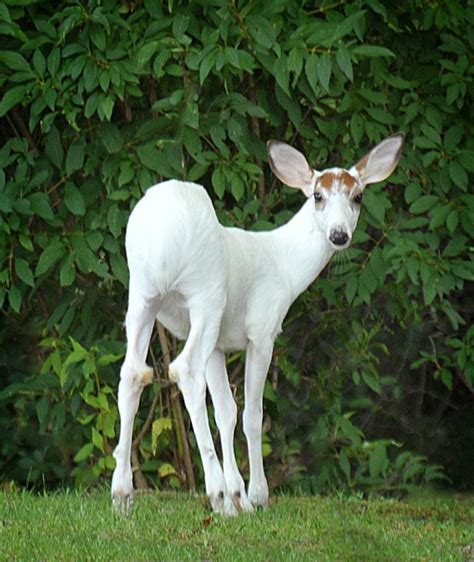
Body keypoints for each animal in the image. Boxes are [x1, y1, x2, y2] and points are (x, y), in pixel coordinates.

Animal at [111, 131, 404, 512]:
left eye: (358, 196)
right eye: (318, 195)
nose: (339, 235)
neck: (285, 264)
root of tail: (165, 230)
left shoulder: (219, 344)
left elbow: (226, 411)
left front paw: (239, 498)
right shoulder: (262, 330)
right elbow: (252, 414)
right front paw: (255, 497)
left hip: (142, 294)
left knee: (133, 371)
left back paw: (122, 493)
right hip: (206, 294)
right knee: (184, 369)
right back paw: (215, 493)